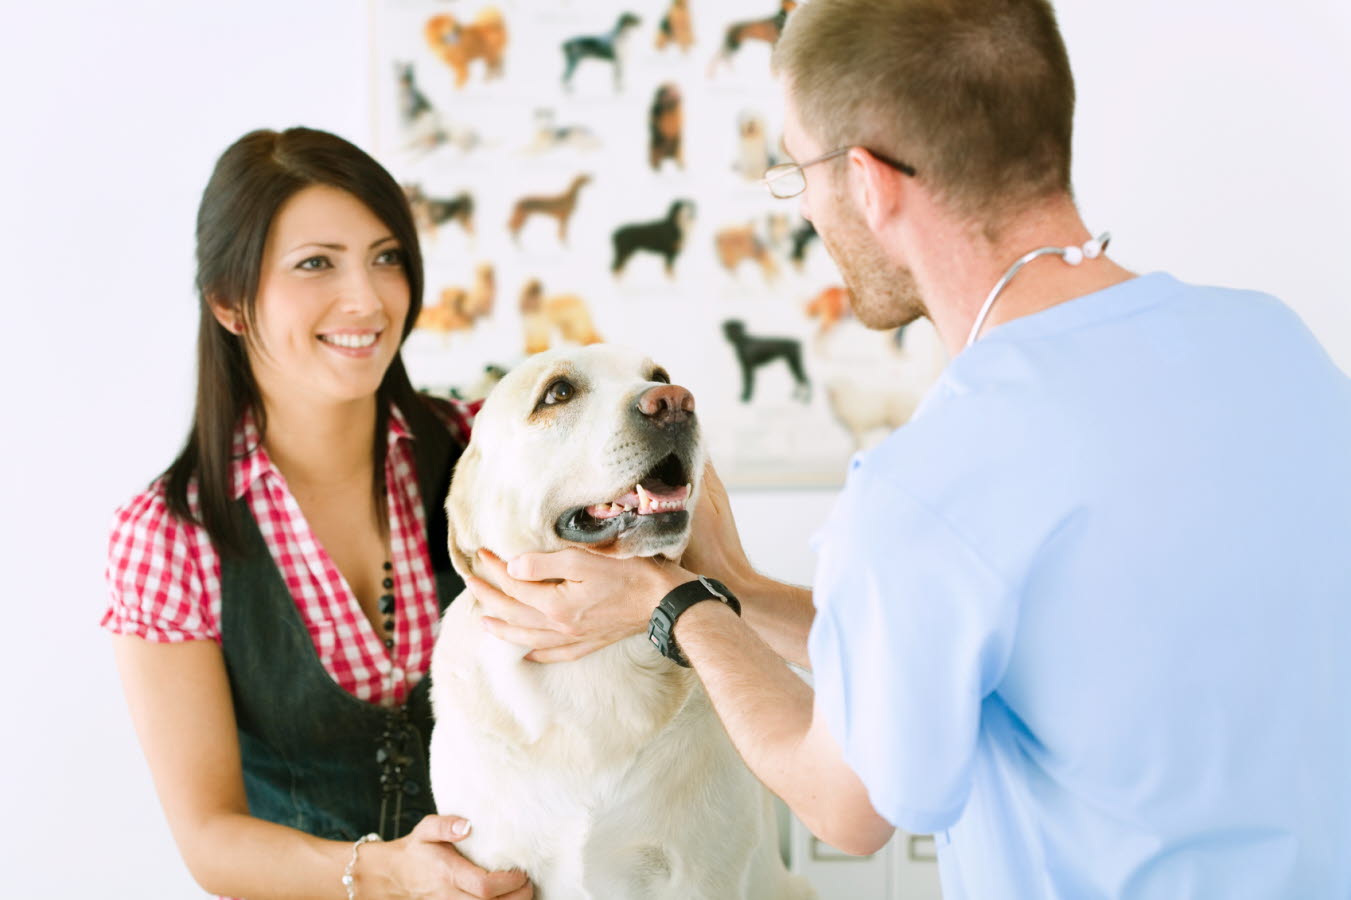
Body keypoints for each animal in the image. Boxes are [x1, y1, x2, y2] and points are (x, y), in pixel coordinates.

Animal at [429, 343, 810, 897]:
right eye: (558, 392)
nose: (674, 402)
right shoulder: (491, 867)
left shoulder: (704, 873)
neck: (596, 669)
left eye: (660, 375)